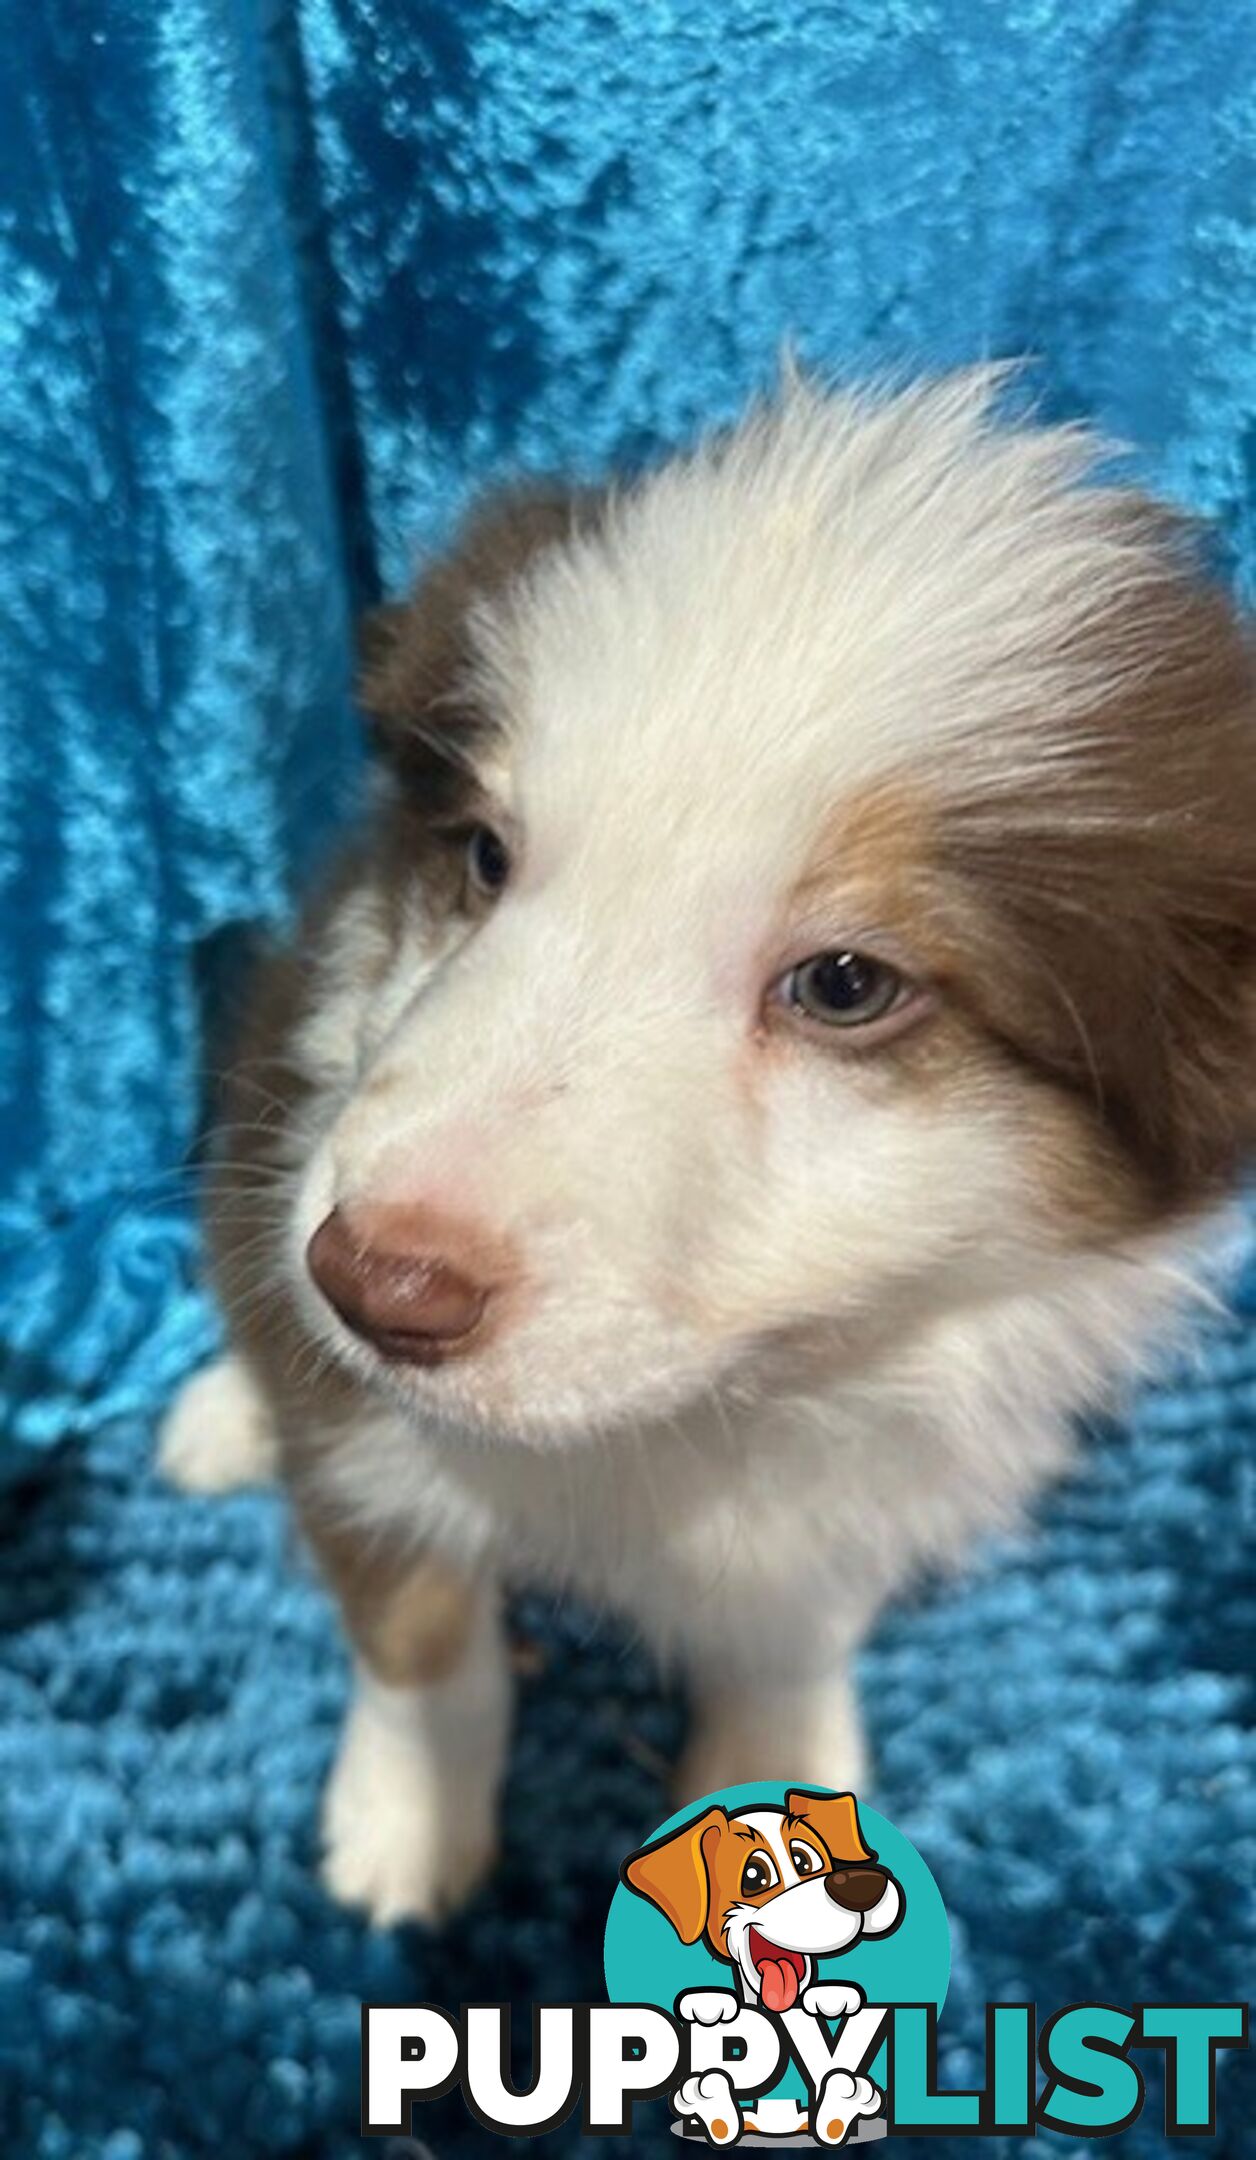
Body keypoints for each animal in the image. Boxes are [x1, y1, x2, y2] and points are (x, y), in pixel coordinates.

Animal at [162, 371, 1253, 1926]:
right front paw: (406, 1825)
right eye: (486, 856)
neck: (707, 1412)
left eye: (845, 984)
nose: (374, 1285)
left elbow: (794, 1616)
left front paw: (778, 1772)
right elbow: (420, 1628)